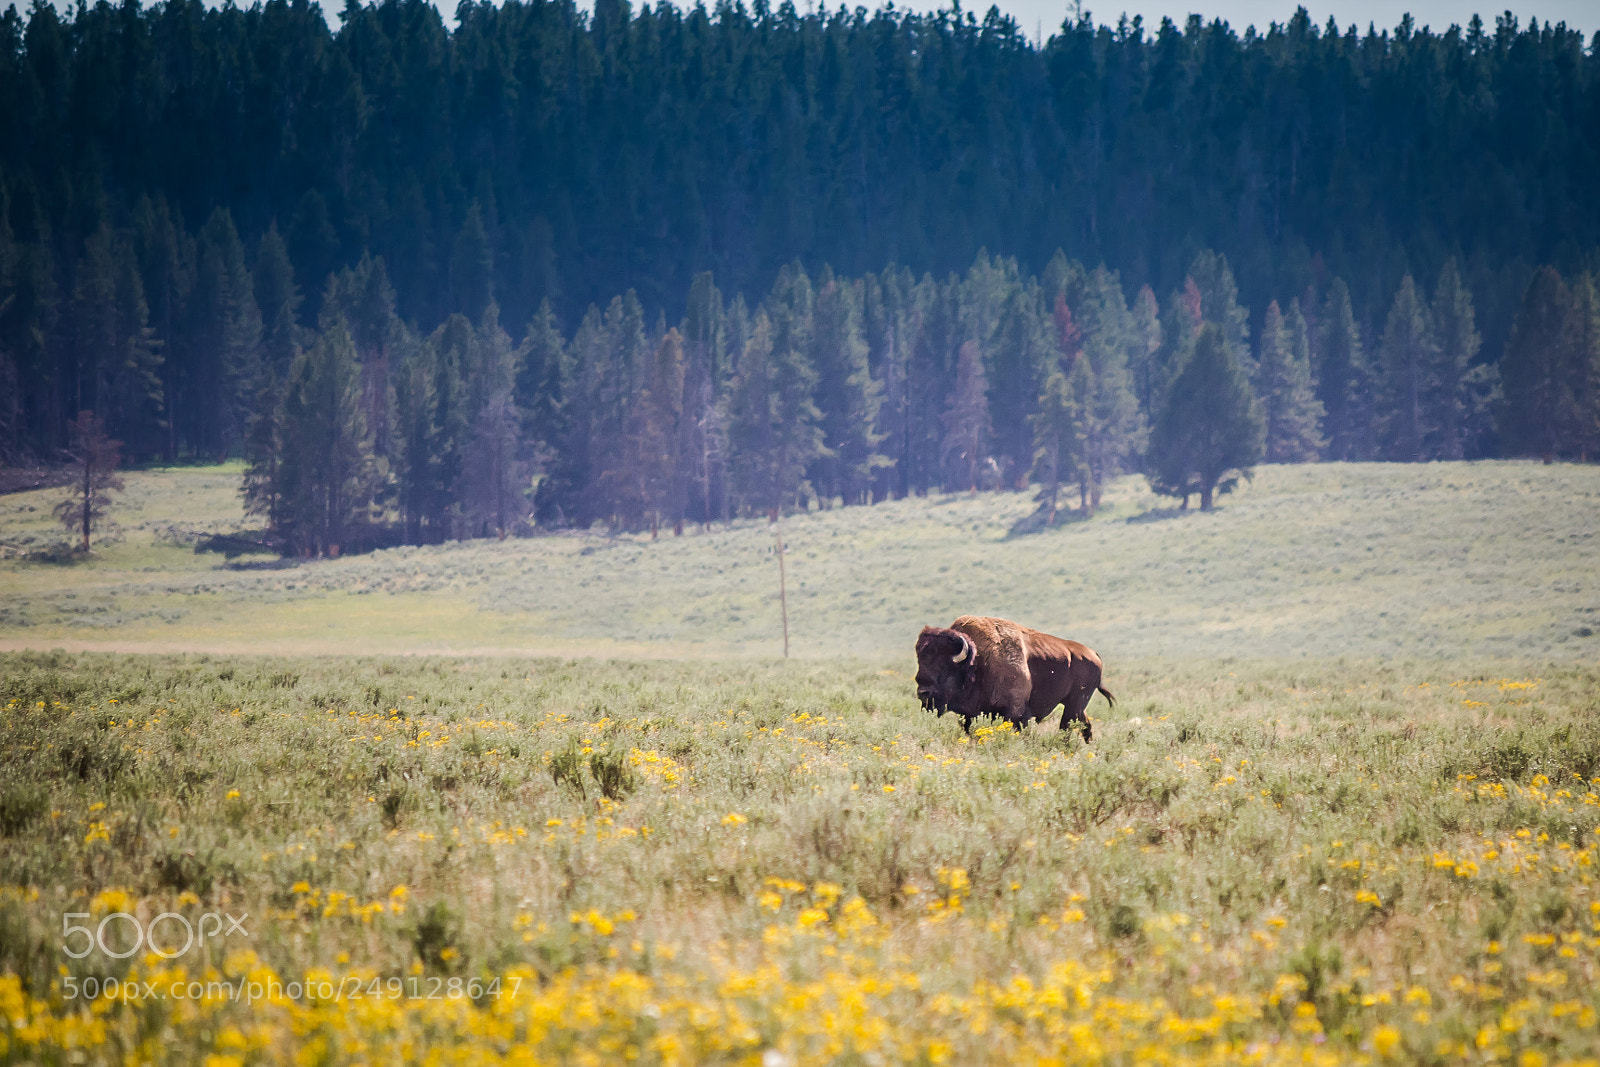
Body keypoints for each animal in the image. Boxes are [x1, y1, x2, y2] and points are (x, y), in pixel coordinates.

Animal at [914, 615, 1114, 740]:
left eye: (944, 666)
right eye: (920, 661)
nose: (922, 693)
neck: (977, 663)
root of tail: (1093, 653)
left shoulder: (1014, 713)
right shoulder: (970, 716)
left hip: (1075, 704)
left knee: (1067, 727)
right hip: (1075, 705)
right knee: (1085, 726)